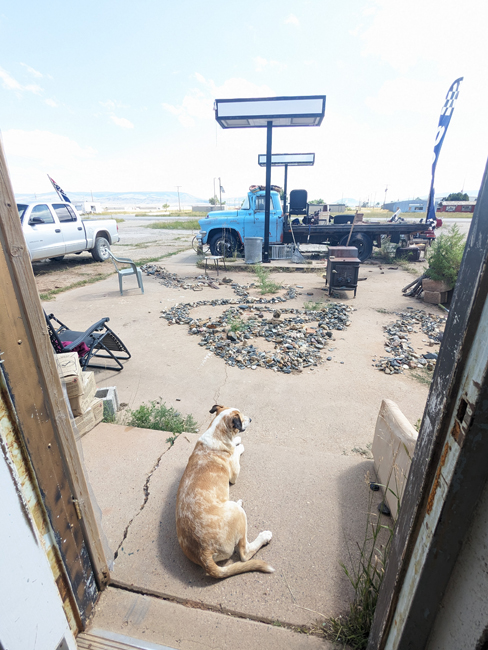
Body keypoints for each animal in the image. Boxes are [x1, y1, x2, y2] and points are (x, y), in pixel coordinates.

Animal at [175, 404, 274, 576]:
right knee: (244, 553)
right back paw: (264, 536)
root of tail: (203, 553)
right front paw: (238, 445)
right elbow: (236, 451)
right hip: (238, 516)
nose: (251, 419)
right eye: (240, 417)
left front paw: (237, 441)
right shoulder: (234, 474)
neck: (217, 432)